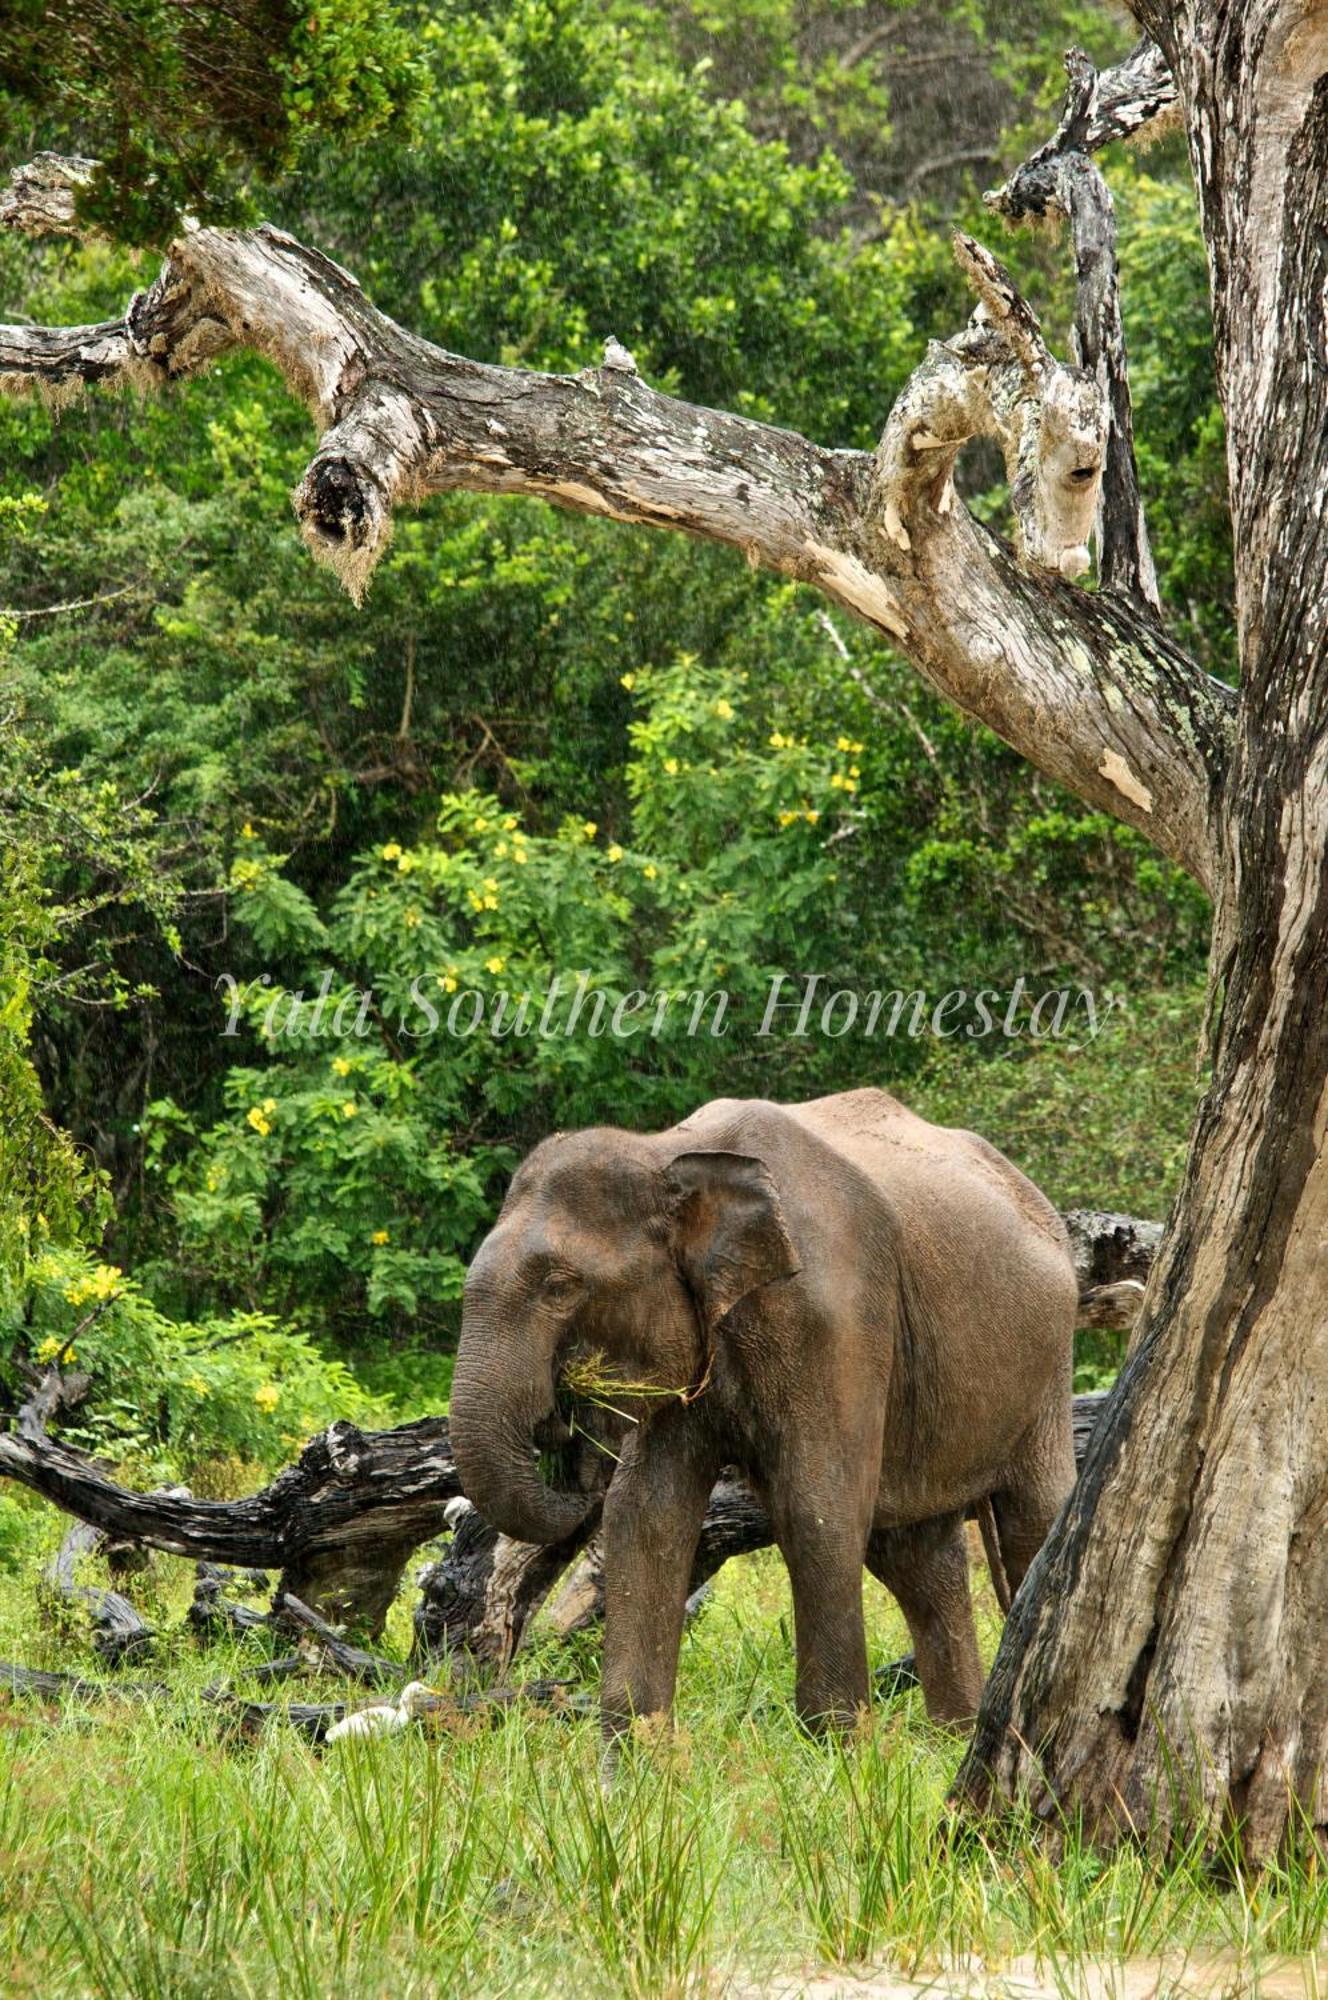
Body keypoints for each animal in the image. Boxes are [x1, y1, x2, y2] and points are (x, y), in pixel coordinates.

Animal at [448, 1080, 1080, 1736]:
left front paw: (834, 1744)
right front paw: (633, 1749)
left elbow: (817, 1505)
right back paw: (949, 1738)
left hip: (1051, 1360)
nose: (566, 1437)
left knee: (1034, 1517)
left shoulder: (833, 1317)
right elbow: (644, 1511)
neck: (668, 1152)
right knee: (918, 1557)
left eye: (560, 1286)